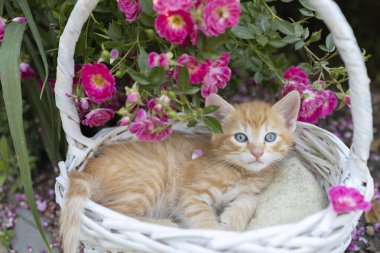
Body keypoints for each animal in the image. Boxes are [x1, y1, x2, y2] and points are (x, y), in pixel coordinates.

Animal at [60, 90, 300, 251]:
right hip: (148, 180)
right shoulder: (190, 196)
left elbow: (249, 200)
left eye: (270, 137)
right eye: (241, 137)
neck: (241, 172)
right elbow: (203, 220)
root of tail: (88, 168)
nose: (257, 152)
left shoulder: (249, 191)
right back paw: (165, 226)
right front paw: (218, 234)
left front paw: (232, 222)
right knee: (114, 216)